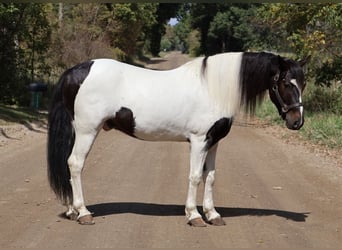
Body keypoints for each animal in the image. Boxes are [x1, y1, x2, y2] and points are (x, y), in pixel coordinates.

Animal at [47, 51, 308, 227]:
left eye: (304, 83)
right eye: (285, 82)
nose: (297, 121)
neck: (214, 89)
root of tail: (76, 70)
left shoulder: (214, 142)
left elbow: (210, 177)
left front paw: (213, 214)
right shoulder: (199, 141)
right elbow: (195, 177)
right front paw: (194, 216)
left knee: (68, 164)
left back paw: (72, 210)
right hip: (87, 130)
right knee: (75, 164)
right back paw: (83, 213)